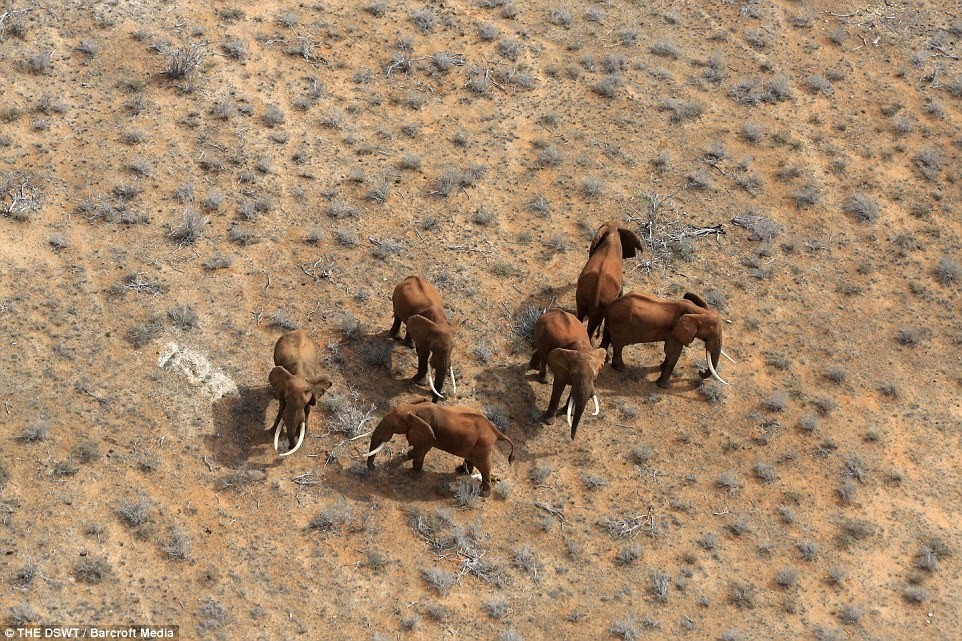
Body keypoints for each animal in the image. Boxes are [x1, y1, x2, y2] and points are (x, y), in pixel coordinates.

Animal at [362, 396, 512, 496]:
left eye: (394, 425)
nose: (373, 468)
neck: (414, 409)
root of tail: (495, 431)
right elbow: (417, 450)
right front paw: (404, 460)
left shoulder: (428, 432)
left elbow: (421, 450)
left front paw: (412, 473)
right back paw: (462, 471)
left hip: (483, 445)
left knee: (484, 465)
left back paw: (483, 494)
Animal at [528, 308, 604, 438]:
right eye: (572, 375)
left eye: (594, 377)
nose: (572, 438)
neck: (582, 349)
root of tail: (553, 310)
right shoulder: (562, 369)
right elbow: (559, 386)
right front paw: (548, 422)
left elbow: (574, 389)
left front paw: (567, 412)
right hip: (539, 330)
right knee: (544, 356)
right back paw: (543, 379)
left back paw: (534, 366)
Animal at [600, 292, 736, 390]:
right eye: (712, 333)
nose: (700, 371)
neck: (699, 311)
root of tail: (610, 306)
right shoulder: (674, 333)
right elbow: (674, 353)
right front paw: (665, 386)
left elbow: (671, 353)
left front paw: (661, 367)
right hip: (619, 324)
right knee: (618, 345)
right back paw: (621, 369)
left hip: (612, 321)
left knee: (607, 337)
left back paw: (605, 360)